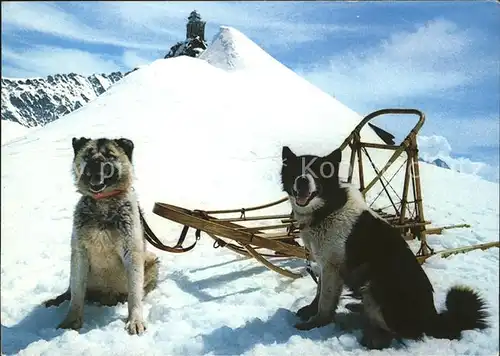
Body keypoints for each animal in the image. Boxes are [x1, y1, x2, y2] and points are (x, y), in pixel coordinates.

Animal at [44, 136, 159, 334]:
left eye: (110, 155)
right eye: (88, 154)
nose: (95, 162)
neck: (103, 203)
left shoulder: (133, 252)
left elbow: (135, 292)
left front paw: (135, 320)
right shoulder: (79, 252)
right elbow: (76, 293)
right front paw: (71, 320)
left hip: (151, 260)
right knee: (70, 289)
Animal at [280, 146, 490, 350]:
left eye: (319, 172)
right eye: (296, 170)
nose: (302, 181)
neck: (328, 208)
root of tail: (432, 317)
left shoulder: (333, 267)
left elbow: (325, 300)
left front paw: (316, 323)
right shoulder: (325, 264)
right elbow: (319, 291)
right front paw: (310, 310)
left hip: (375, 283)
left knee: (398, 333)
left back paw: (374, 338)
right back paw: (358, 309)